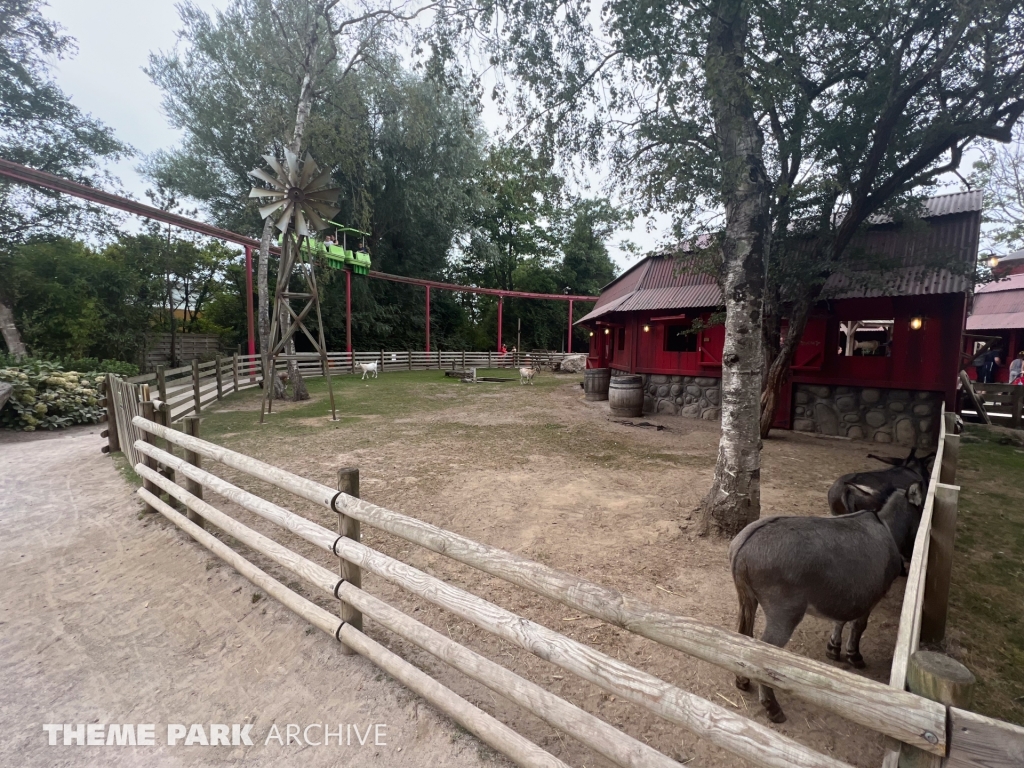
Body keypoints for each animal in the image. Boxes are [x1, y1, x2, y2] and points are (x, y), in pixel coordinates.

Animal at [733, 483, 925, 724]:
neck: (887, 526)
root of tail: (745, 544)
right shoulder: (873, 596)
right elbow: (859, 626)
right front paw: (854, 656)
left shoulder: (845, 594)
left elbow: (840, 620)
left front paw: (834, 648)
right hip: (784, 614)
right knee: (763, 654)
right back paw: (772, 707)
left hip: (747, 600)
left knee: (743, 637)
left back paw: (742, 681)